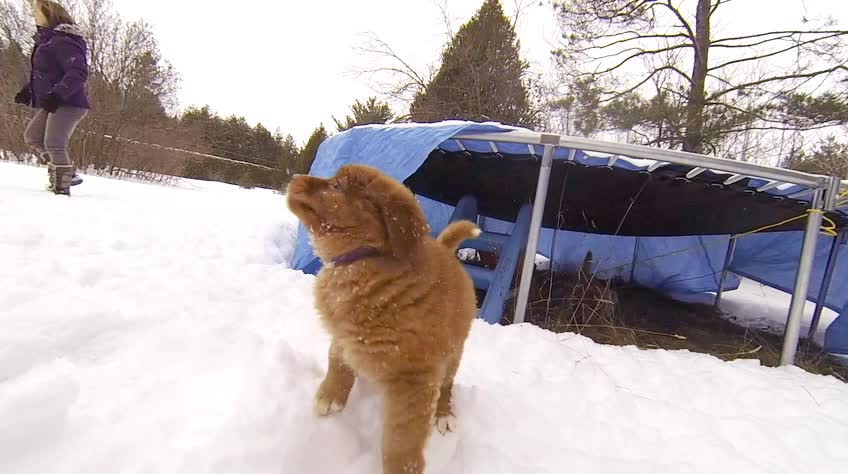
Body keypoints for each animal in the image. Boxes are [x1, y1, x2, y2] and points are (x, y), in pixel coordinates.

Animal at [288, 164, 480, 474]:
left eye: (337, 186)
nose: (294, 177)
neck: (360, 262)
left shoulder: (415, 378)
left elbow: (401, 438)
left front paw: (403, 468)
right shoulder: (344, 334)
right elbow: (337, 362)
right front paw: (330, 397)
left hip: (453, 352)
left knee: (447, 385)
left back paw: (444, 414)